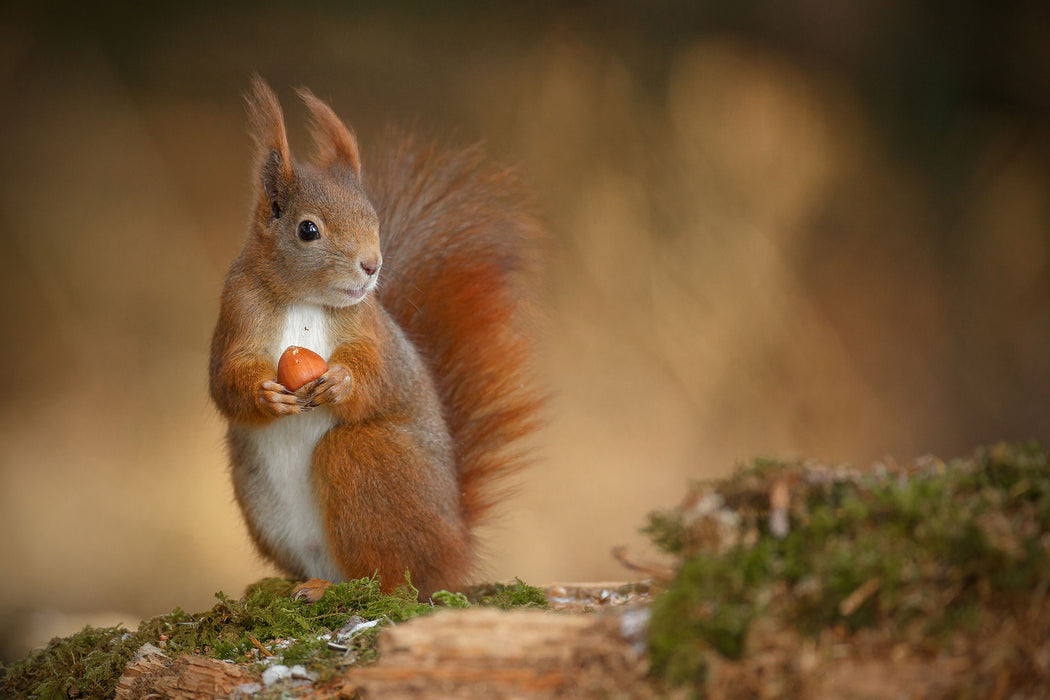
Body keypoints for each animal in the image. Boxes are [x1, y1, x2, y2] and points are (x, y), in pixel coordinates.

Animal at [209, 78, 546, 604]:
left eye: (373, 217)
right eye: (308, 229)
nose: (372, 265)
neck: (304, 300)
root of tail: (454, 551)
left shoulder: (371, 330)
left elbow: (379, 375)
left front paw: (342, 383)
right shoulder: (236, 313)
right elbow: (226, 380)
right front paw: (265, 396)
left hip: (367, 459)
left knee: (389, 577)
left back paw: (342, 589)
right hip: (260, 500)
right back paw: (303, 585)